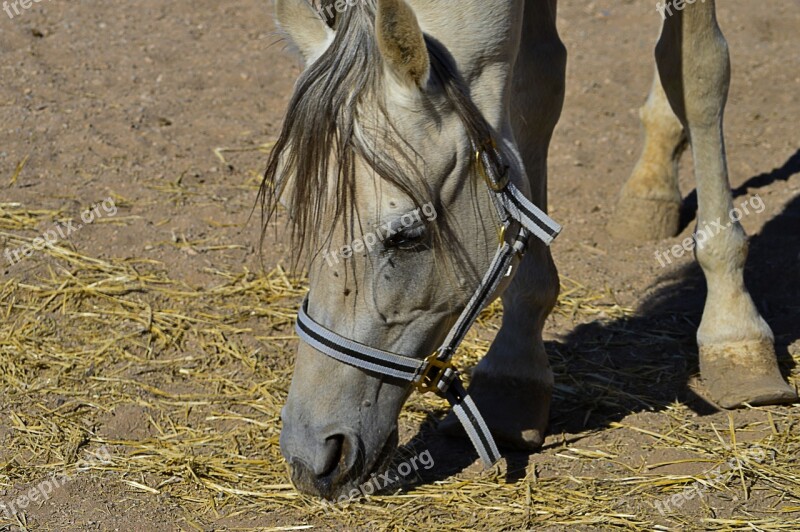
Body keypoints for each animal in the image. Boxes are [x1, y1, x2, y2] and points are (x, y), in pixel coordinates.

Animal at [260, 0, 792, 500]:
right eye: (292, 210)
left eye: (406, 234)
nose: (311, 456)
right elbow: (536, 85)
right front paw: (513, 380)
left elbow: (699, 71)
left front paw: (734, 333)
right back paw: (650, 188)